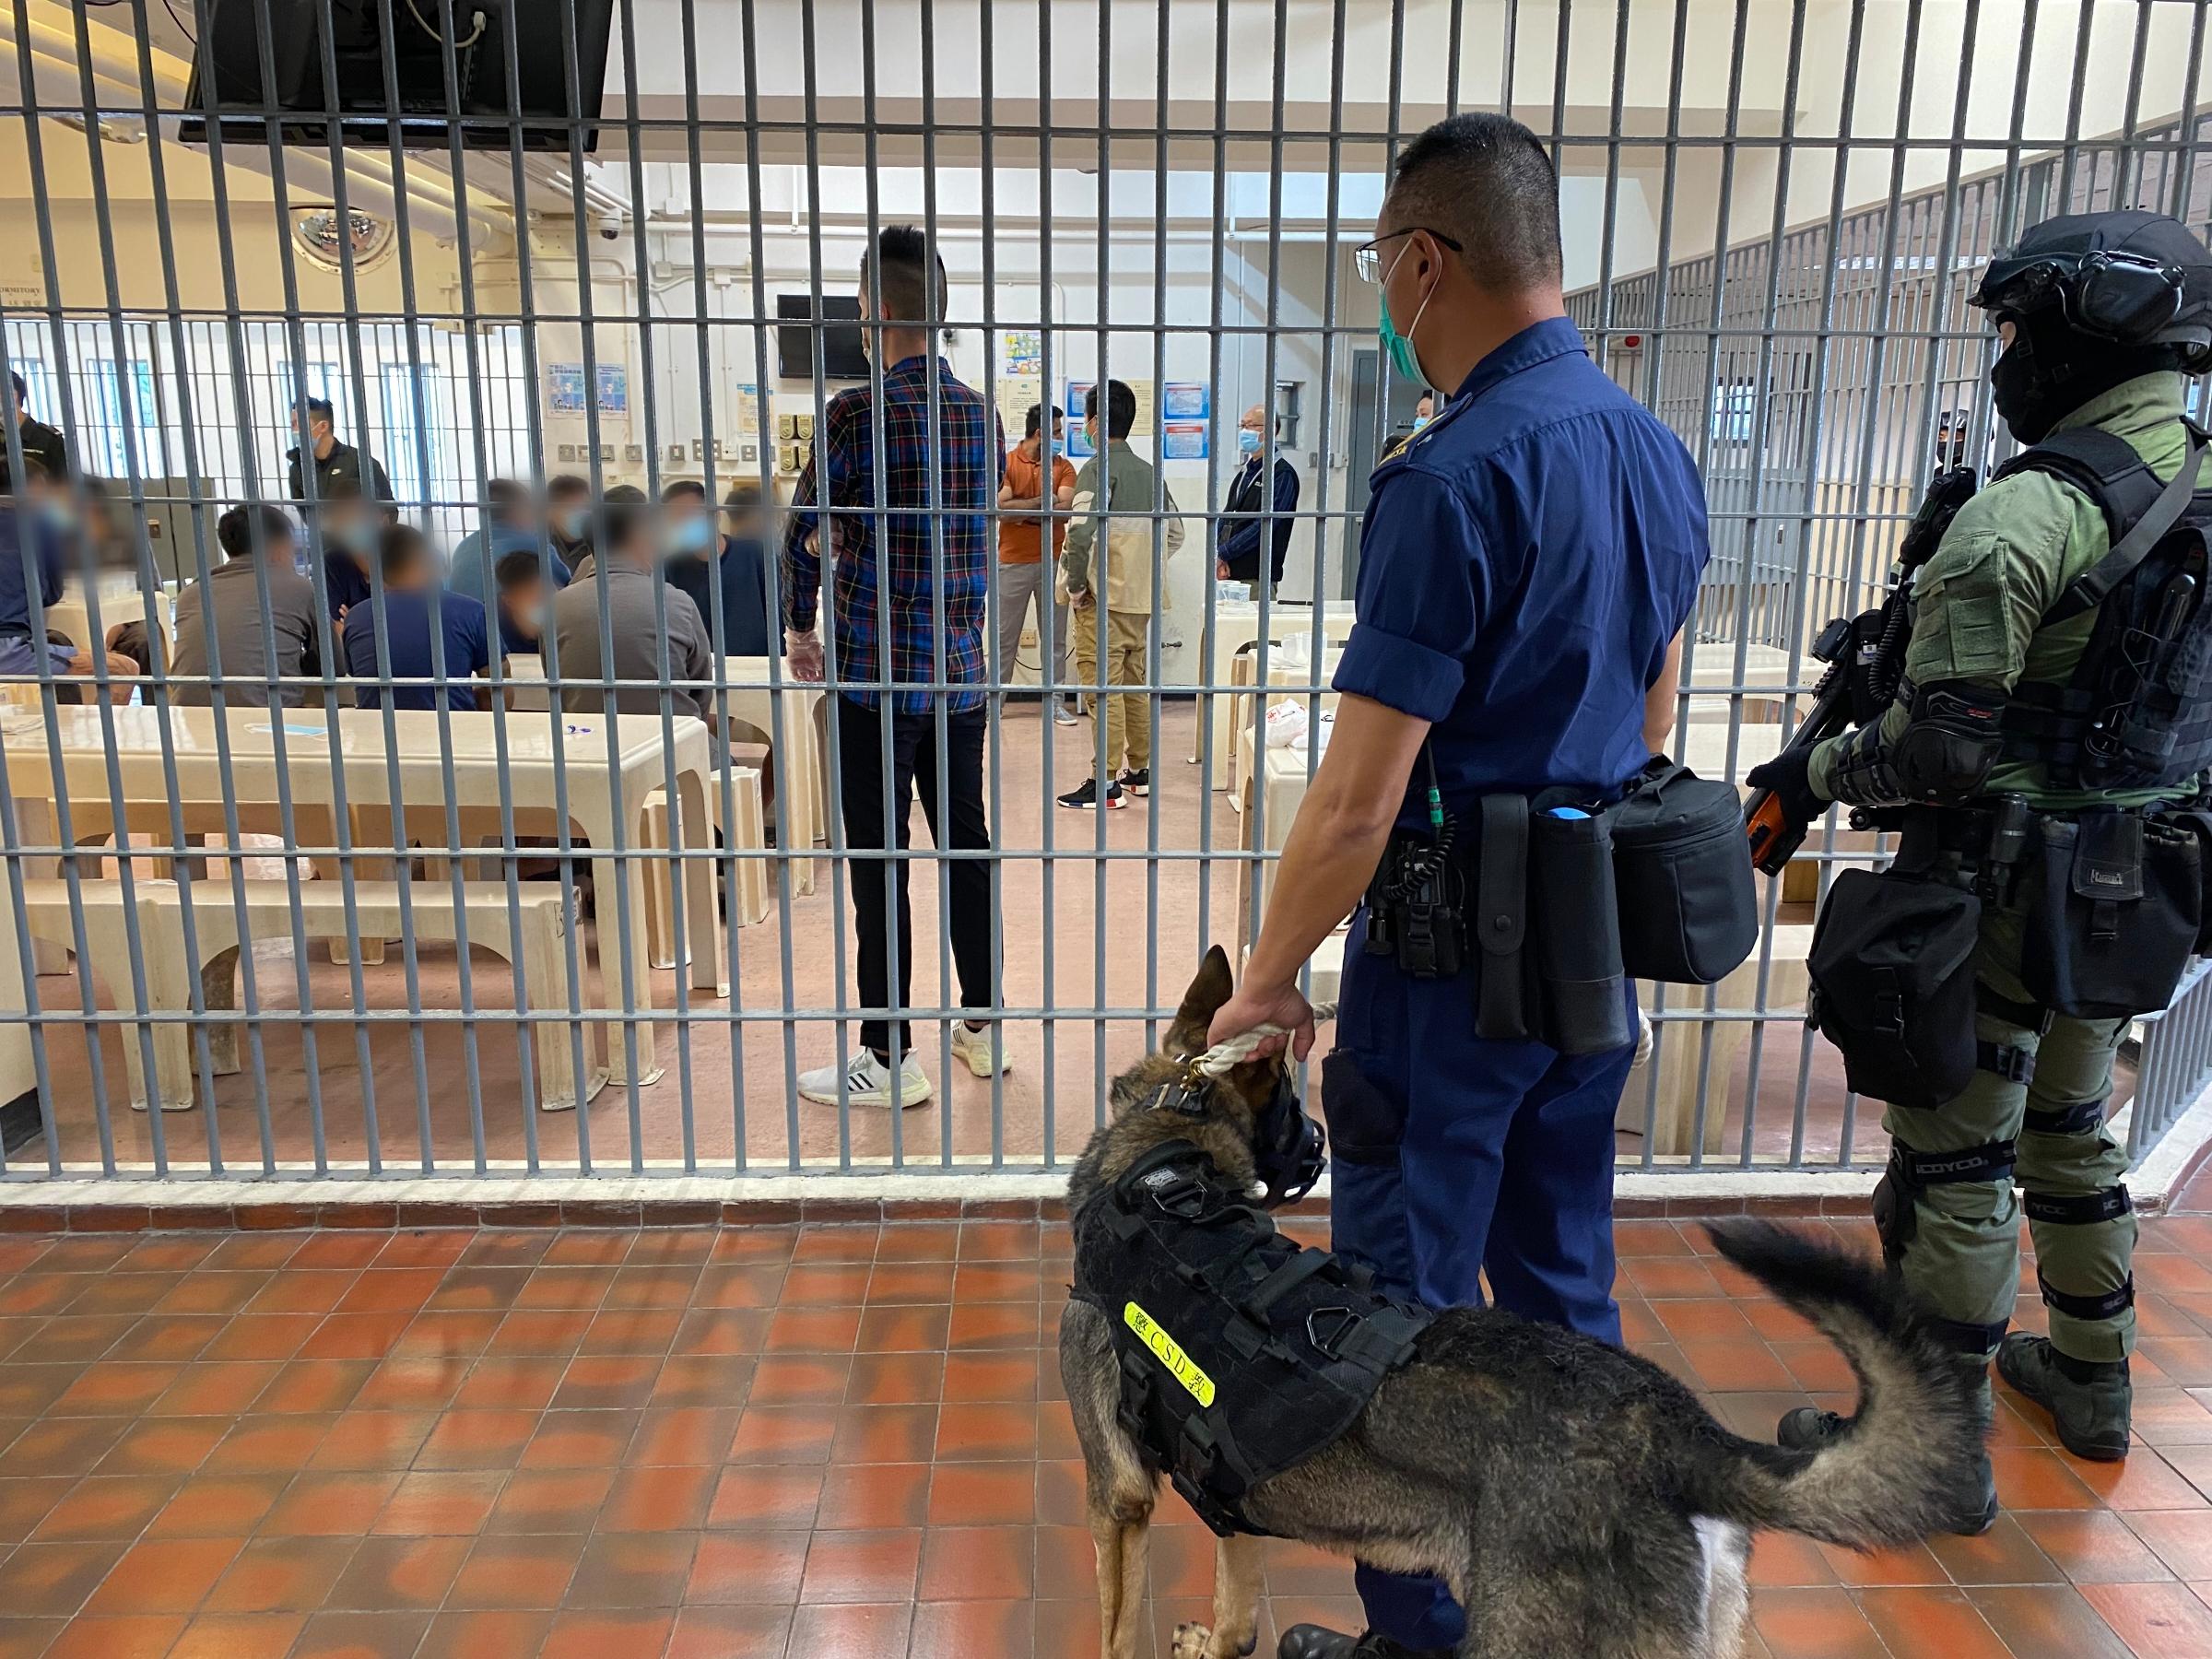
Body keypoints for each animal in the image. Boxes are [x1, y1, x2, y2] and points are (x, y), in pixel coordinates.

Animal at [1057, 947, 1991, 1659]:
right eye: (1290, 1105)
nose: (1320, 1142)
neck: (1165, 1175)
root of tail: (1681, 1440)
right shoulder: (1233, 1501)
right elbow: (1237, 1613)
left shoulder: (1117, 1504)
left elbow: (1116, 1631)